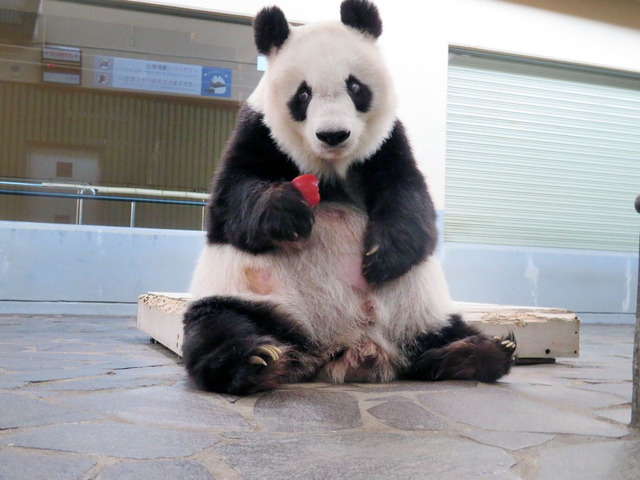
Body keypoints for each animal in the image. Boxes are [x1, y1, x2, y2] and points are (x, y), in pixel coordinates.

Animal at [181, 0, 516, 394]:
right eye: (303, 94)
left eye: (355, 86)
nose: (333, 134)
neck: (330, 166)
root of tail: (350, 348)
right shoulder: (258, 130)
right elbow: (230, 197)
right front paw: (287, 212)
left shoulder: (387, 144)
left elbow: (410, 198)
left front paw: (381, 256)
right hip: (252, 296)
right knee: (218, 327)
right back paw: (258, 360)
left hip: (421, 310)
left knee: (440, 337)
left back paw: (476, 352)